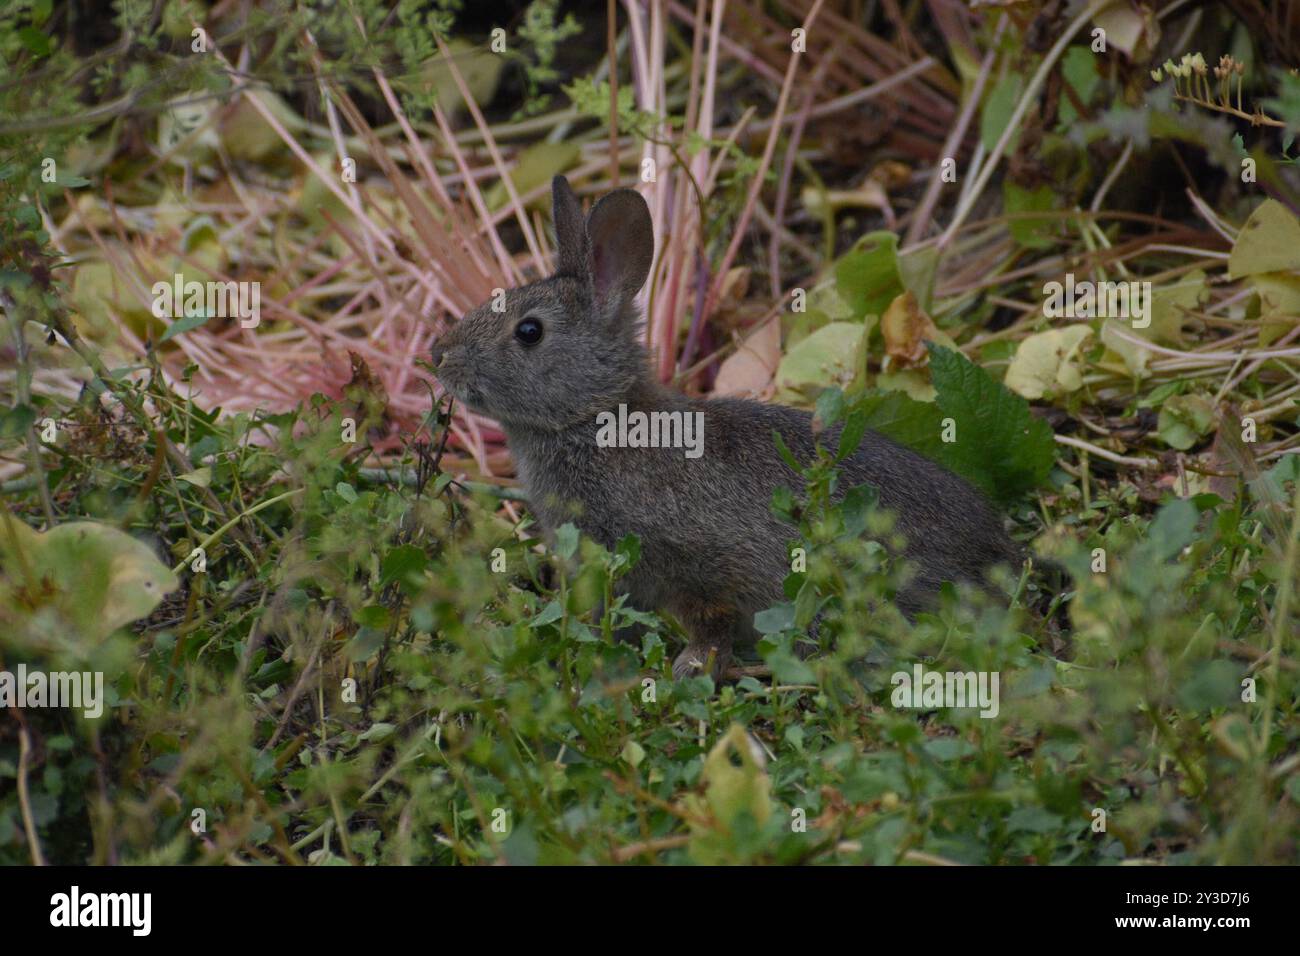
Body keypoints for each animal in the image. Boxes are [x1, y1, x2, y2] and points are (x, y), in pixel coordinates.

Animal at [430, 175, 1028, 681]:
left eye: (529, 332)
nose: (439, 355)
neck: (596, 417)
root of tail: (1000, 556)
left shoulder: (694, 561)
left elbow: (709, 617)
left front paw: (691, 666)